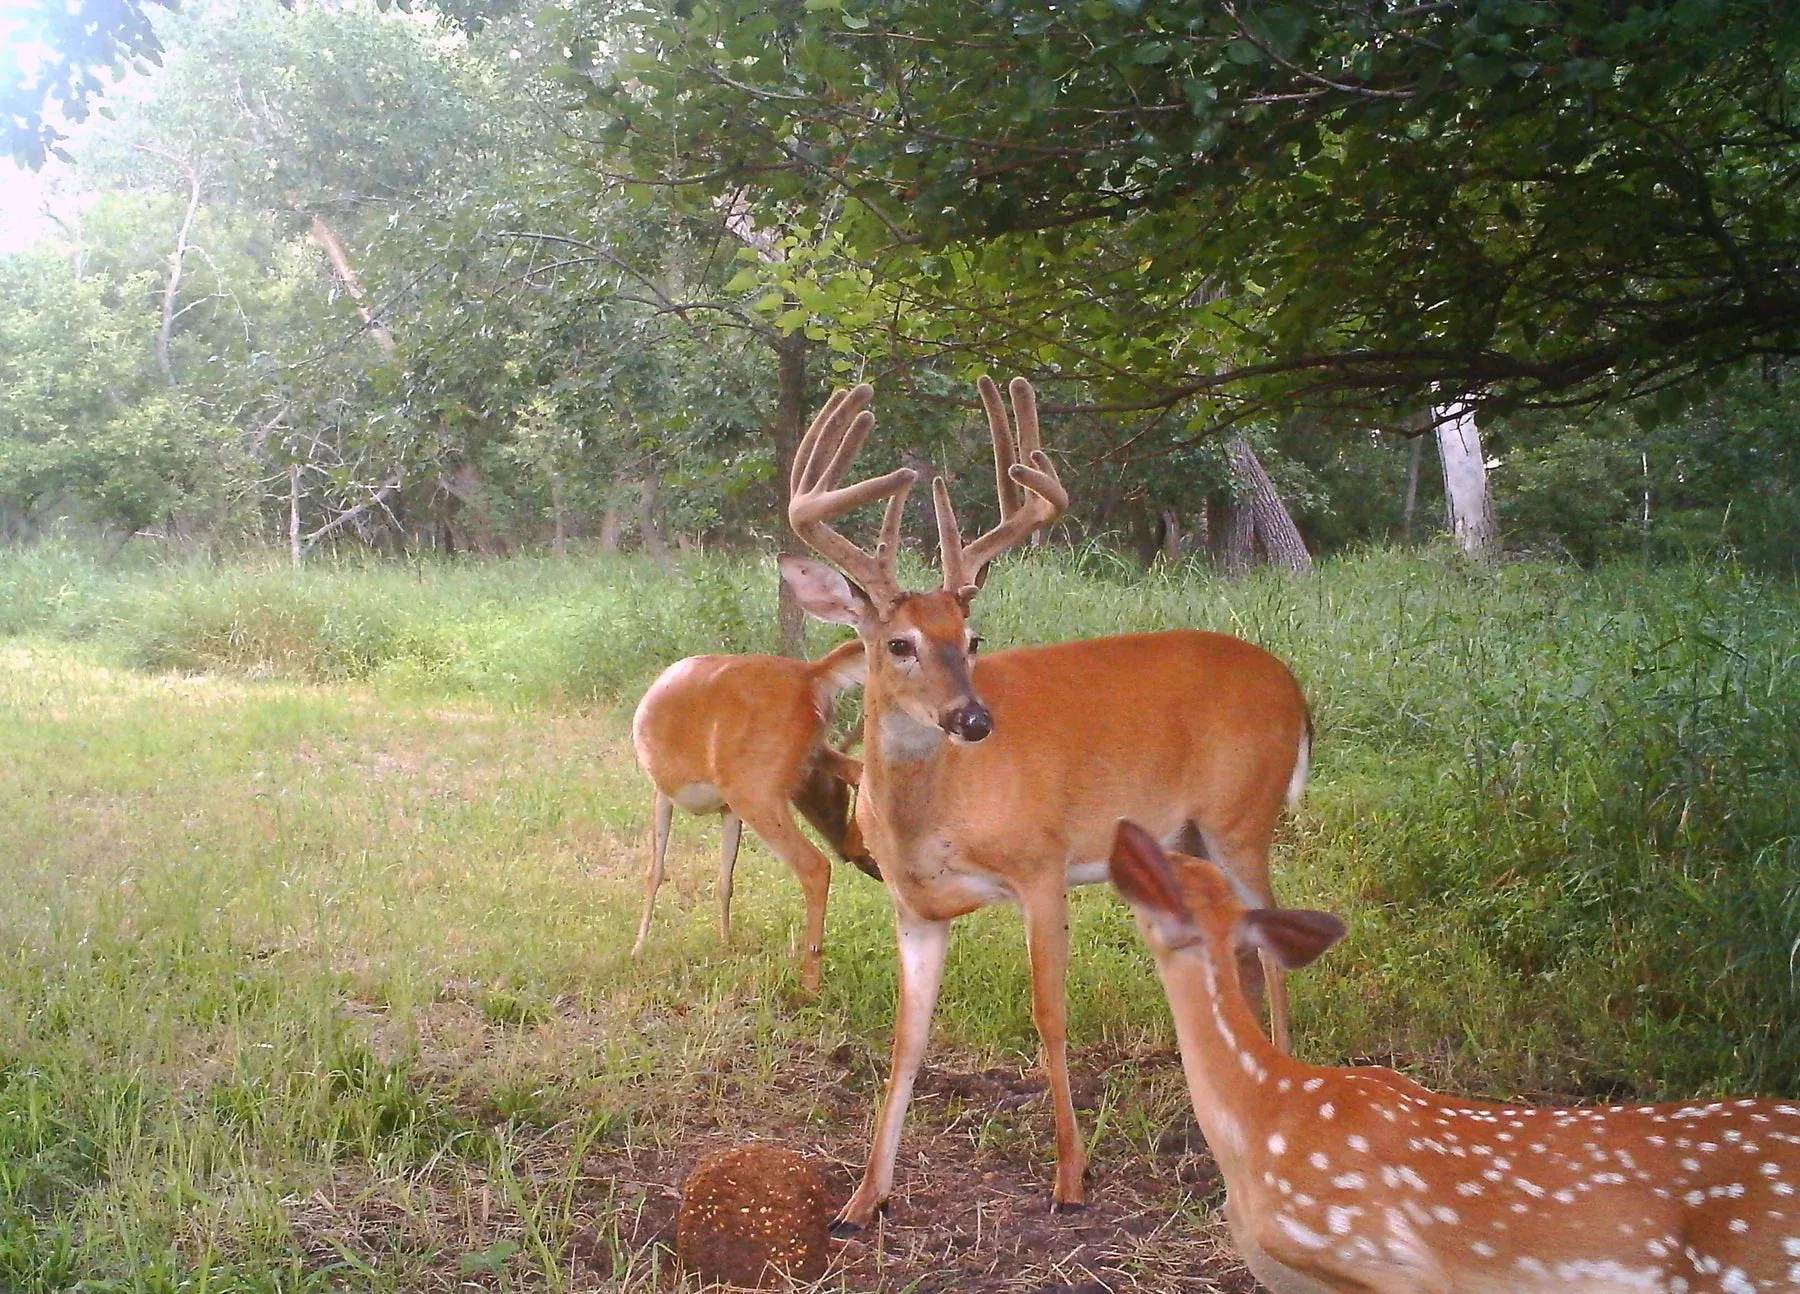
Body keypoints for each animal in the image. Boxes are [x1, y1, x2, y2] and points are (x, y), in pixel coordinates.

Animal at [630, 640, 877, 994]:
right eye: (836, 796)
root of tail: (809, 674)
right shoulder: (728, 810)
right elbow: (725, 880)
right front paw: (726, 944)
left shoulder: (662, 792)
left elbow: (655, 871)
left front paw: (638, 949)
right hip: (807, 757)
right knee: (861, 772)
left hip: (755, 790)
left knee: (815, 866)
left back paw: (809, 985)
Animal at [778, 379, 1313, 1230]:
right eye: (899, 644)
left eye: (973, 638)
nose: (973, 719)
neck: (932, 818)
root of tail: (1295, 690)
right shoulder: (913, 906)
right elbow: (906, 1039)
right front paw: (863, 1198)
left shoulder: (1042, 863)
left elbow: (1049, 1015)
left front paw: (1070, 1178)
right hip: (1190, 837)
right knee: (1239, 950)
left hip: (1242, 815)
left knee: (1271, 947)